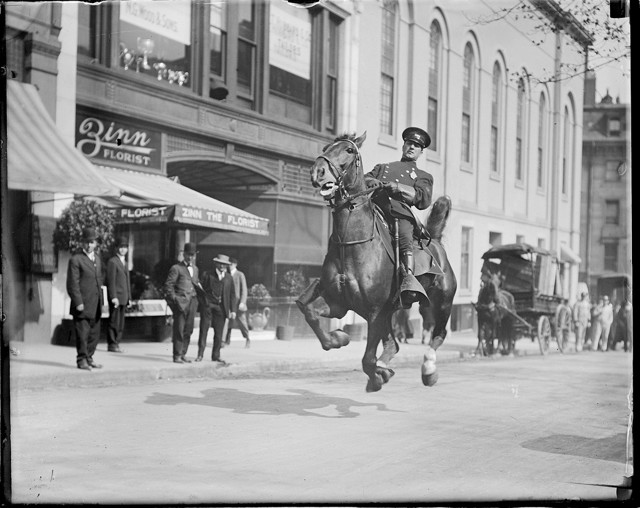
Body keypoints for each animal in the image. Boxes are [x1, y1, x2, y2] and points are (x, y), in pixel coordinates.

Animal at [298, 132, 458, 392]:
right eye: (326, 148)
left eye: (349, 150)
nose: (317, 172)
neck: (351, 244)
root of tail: (435, 240)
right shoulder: (338, 302)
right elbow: (309, 311)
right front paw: (339, 338)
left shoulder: (375, 312)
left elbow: (366, 359)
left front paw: (375, 377)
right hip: (392, 311)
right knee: (393, 343)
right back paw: (385, 366)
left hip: (441, 303)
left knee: (438, 334)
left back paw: (428, 369)